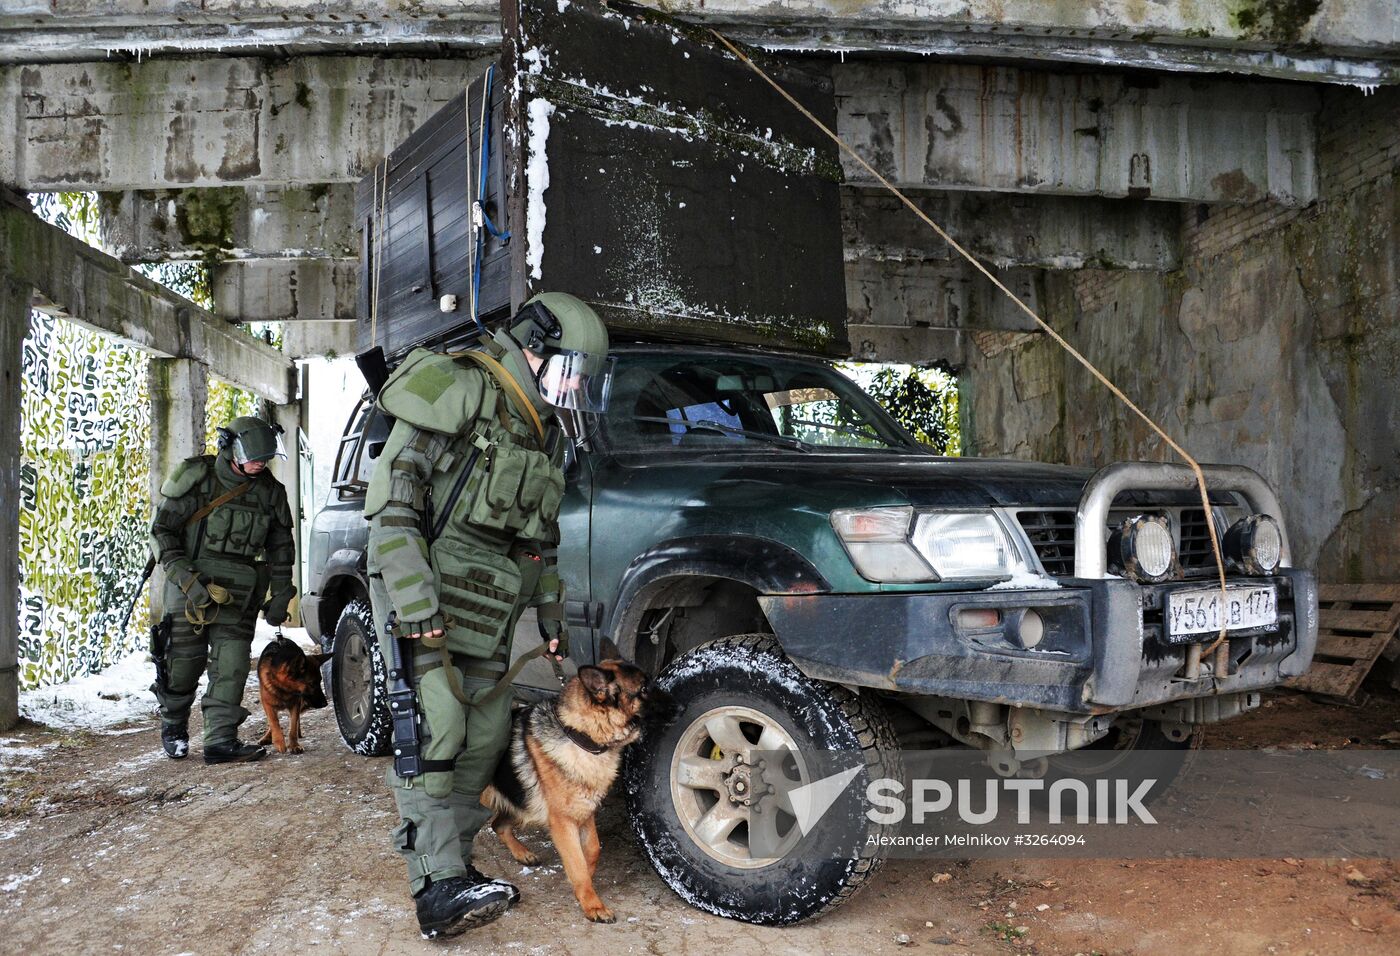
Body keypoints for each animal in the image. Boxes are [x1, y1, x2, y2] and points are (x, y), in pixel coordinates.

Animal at [484, 638, 674, 923]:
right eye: (643, 689)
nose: (679, 705)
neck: (580, 736)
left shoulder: (584, 811)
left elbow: (593, 849)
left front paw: (585, 880)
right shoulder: (563, 822)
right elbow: (576, 860)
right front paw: (592, 903)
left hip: (518, 799)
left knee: (498, 825)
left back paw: (522, 853)